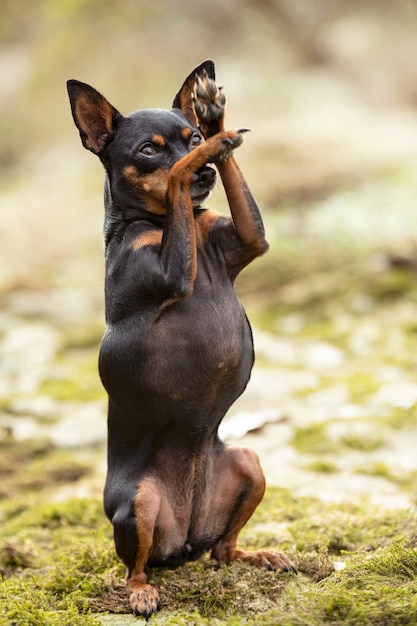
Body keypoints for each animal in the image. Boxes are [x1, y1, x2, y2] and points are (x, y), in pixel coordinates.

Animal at [66, 59, 296, 620]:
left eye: (188, 134)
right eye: (148, 150)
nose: (206, 172)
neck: (176, 222)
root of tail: (185, 542)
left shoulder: (247, 240)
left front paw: (215, 120)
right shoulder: (170, 270)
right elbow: (172, 180)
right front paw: (206, 151)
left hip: (248, 463)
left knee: (223, 550)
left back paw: (257, 555)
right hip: (142, 502)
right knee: (135, 565)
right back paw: (141, 591)